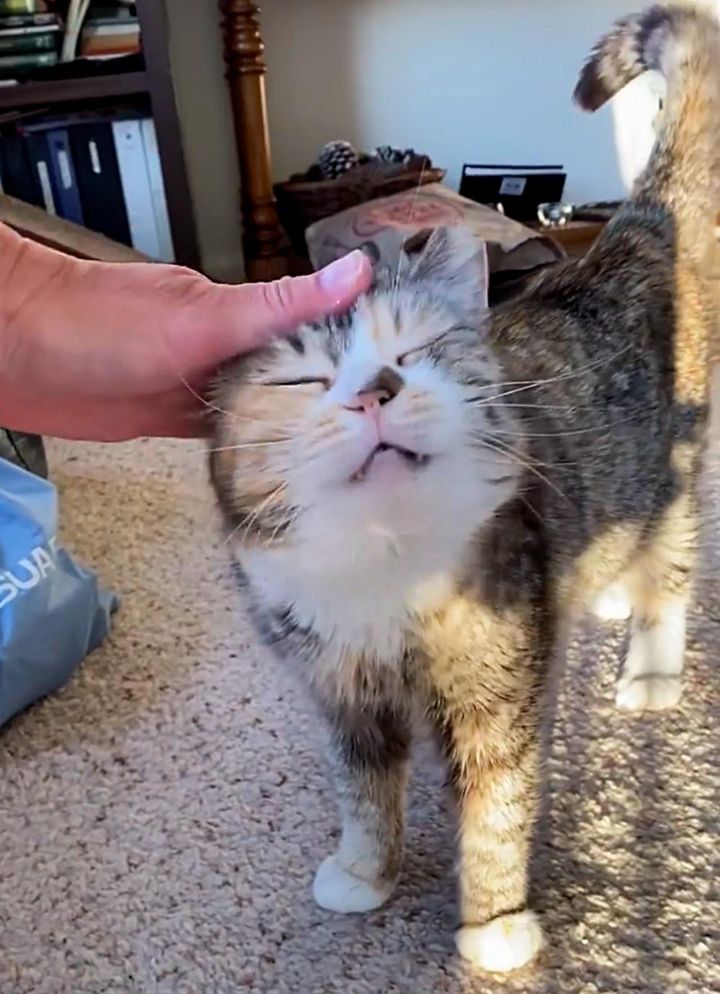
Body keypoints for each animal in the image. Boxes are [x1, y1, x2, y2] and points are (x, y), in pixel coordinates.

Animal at [208, 3, 720, 972]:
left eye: (414, 354)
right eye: (303, 382)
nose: (376, 390)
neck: (382, 565)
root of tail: (631, 234)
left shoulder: (497, 685)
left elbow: (495, 806)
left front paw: (494, 924)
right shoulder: (340, 688)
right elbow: (364, 791)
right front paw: (364, 873)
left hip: (668, 474)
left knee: (669, 574)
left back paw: (650, 672)